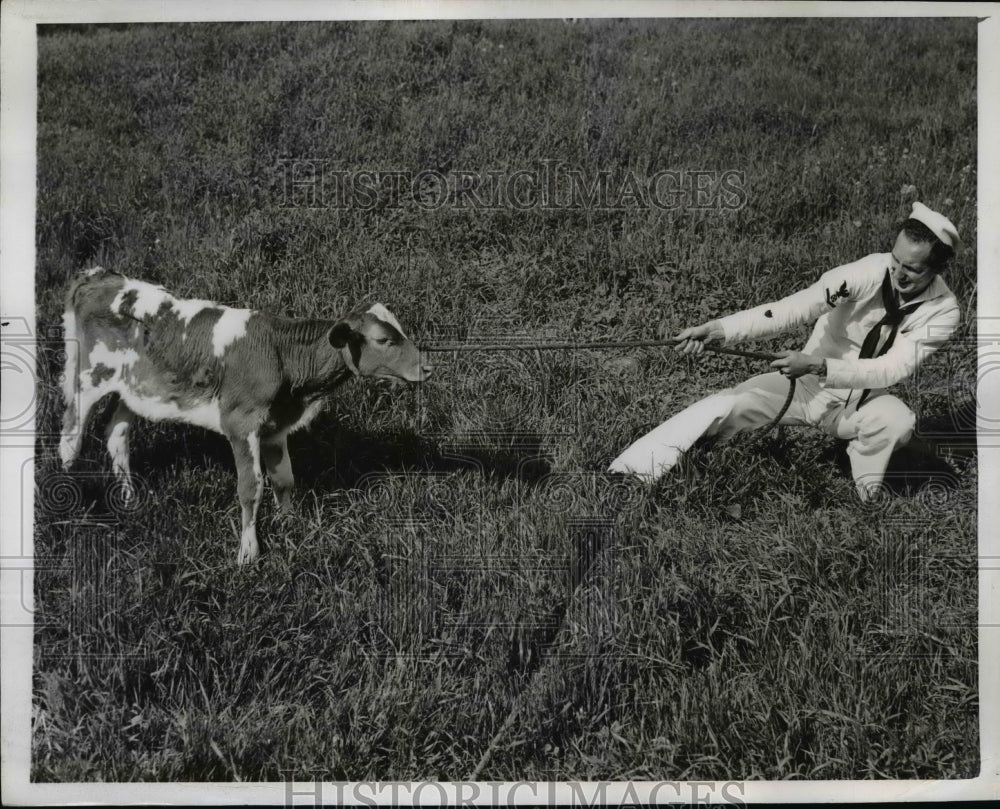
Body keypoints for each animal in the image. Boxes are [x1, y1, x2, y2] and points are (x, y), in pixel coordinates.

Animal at [58, 266, 432, 560]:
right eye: (383, 340)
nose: (427, 367)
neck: (282, 355)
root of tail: (98, 275)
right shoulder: (240, 424)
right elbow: (251, 488)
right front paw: (248, 552)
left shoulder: (276, 427)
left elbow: (284, 479)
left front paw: (291, 525)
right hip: (89, 379)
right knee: (70, 438)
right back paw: (67, 500)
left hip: (135, 390)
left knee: (116, 435)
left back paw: (130, 498)